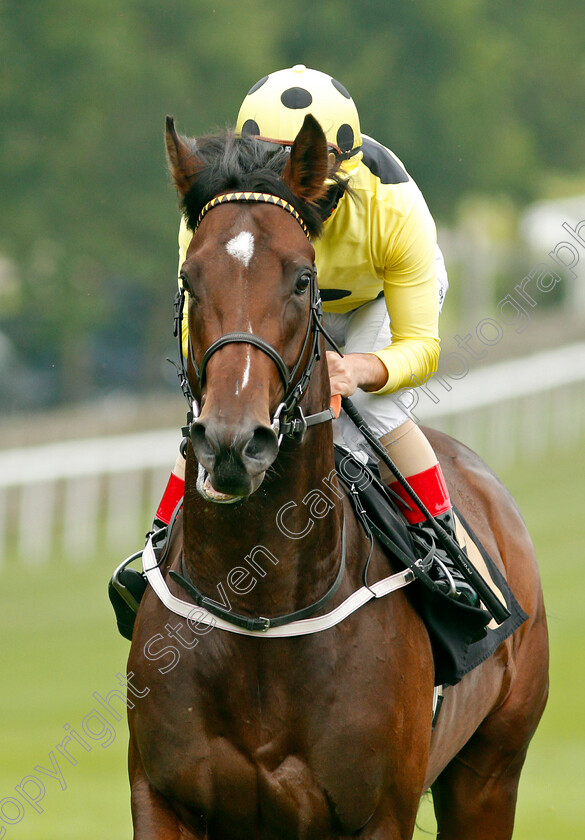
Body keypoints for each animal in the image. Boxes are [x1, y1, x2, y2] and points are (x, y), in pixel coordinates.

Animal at [125, 113, 548, 840]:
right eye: (189, 277)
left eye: (303, 280)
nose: (233, 441)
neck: (260, 608)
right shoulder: (161, 797)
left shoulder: (377, 813)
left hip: (490, 771)